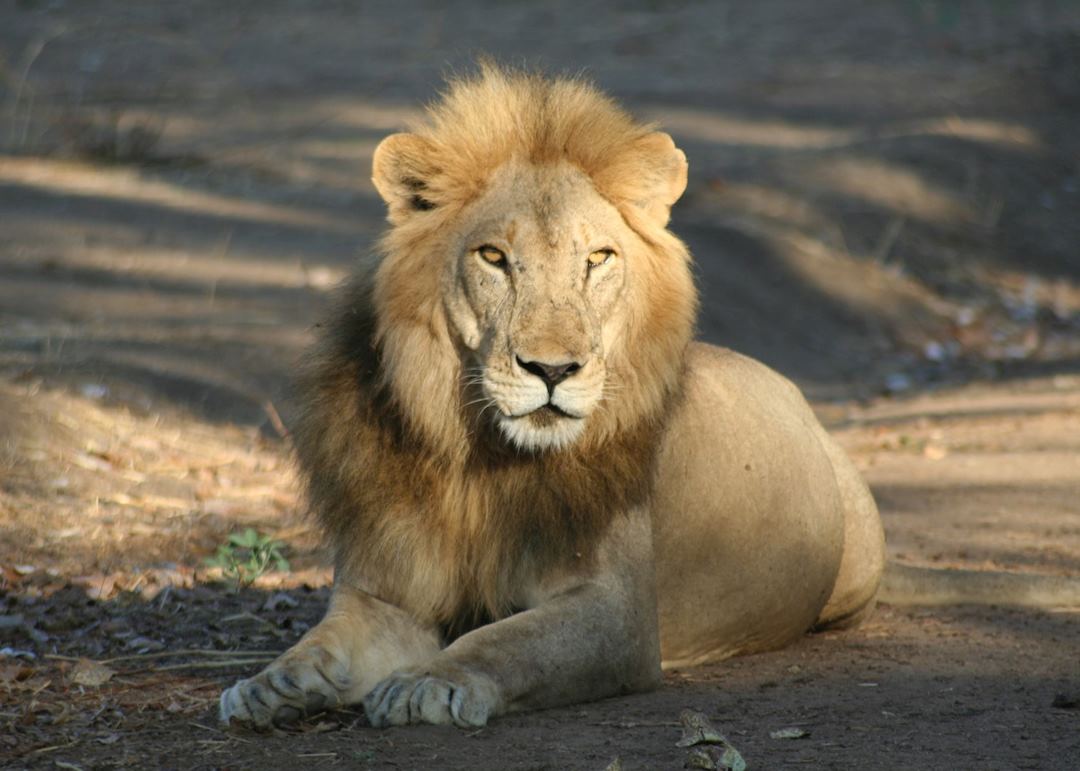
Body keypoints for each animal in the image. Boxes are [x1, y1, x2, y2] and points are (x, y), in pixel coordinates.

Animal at [219, 66, 1076, 730]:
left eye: (599, 258)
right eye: (493, 257)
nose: (552, 369)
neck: (477, 456)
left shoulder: (616, 613)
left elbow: (504, 642)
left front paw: (432, 680)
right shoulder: (384, 589)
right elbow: (322, 645)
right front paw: (267, 685)